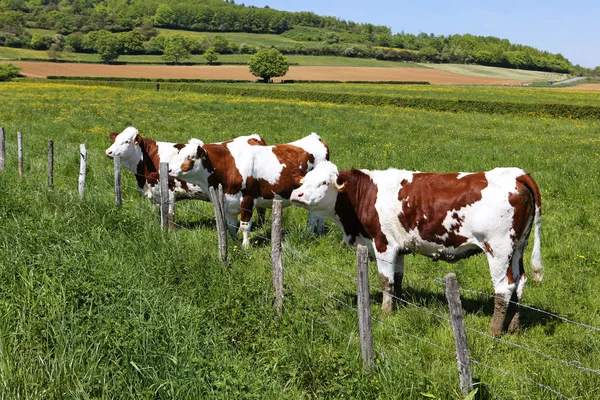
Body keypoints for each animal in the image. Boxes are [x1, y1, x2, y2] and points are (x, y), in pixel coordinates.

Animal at [166, 134, 330, 247]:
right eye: (179, 154)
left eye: (190, 157)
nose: (169, 169)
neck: (227, 166)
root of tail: (315, 137)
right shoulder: (228, 202)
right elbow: (231, 226)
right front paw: (235, 242)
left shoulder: (248, 199)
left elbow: (244, 226)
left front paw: (246, 246)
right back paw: (319, 231)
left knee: (313, 216)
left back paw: (309, 232)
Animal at [290, 161, 544, 336]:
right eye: (304, 180)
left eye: (324, 183)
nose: (296, 194)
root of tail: (516, 173)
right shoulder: (399, 248)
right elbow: (398, 278)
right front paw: (399, 305)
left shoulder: (383, 244)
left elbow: (385, 280)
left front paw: (386, 313)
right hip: (518, 248)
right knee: (519, 282)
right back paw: (513, 326)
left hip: (498, 249)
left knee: (504, 287)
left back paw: (494, 330)